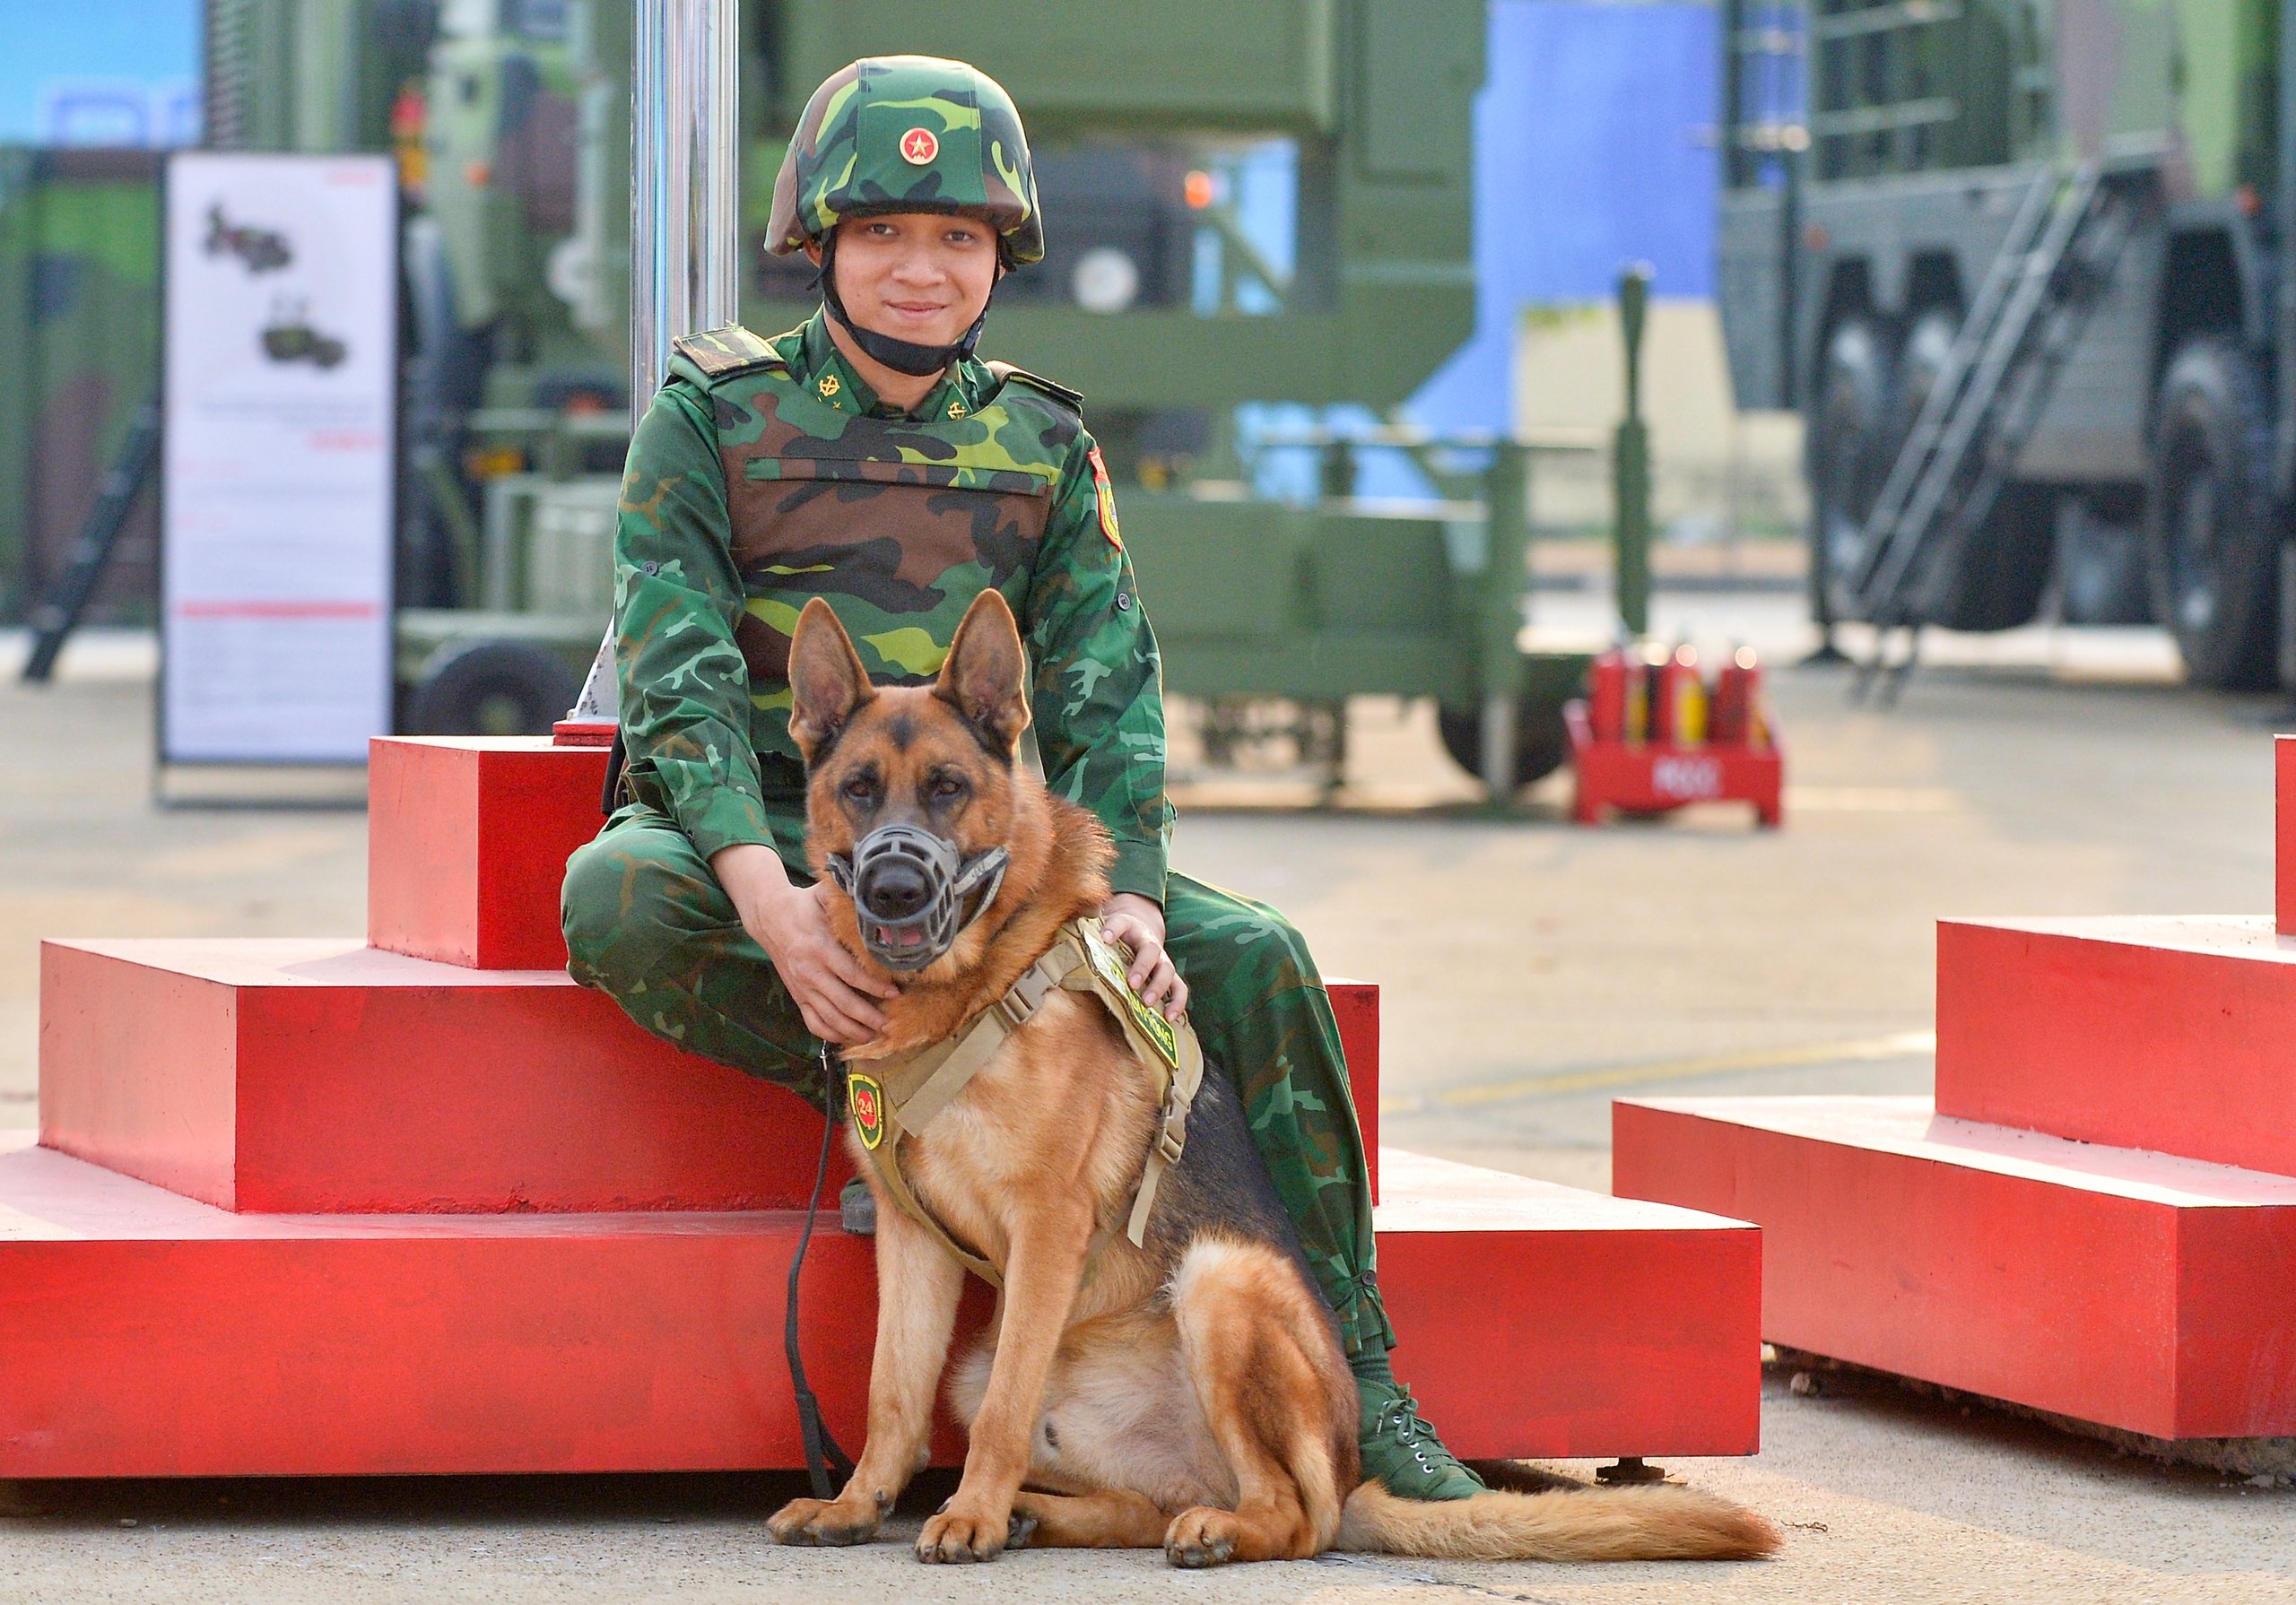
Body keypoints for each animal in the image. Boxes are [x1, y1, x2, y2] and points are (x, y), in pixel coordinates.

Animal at [761, 587, 1781, 1570]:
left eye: (948, 788)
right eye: (858, 789)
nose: (894, 890)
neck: (971, 990)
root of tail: (1351, 1466)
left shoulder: (1046, 1226)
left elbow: (1006, 1410)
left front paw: (967, 1514)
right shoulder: (911, 1237)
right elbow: (890, 1391)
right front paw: (861, 1503)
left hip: (1222, 1279)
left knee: (1295, 1516)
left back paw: (1192, 1528)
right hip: (998, 1375)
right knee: (1145, 1504)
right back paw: (1043, 1515)